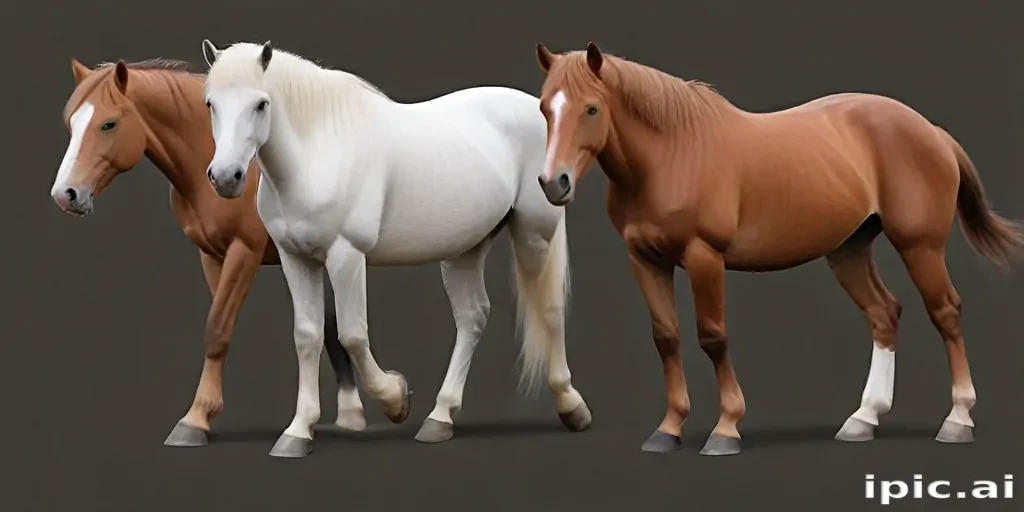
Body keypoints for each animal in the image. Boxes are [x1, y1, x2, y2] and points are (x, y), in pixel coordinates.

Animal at [50, 57, 367, 448]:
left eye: (109, 123)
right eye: (71, 123)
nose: (65, 194)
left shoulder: (244, 252)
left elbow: (217, 329)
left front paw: (195, 418)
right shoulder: (212, 255)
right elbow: (224, 326)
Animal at [199, 40, 592, 458]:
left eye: (261, 104)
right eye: (210, 103)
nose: (225, 177)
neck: (319, 153)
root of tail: (537, 110)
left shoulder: (346, 256)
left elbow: (353, 336)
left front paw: (395, 399)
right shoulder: (296, 259)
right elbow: (307, 336)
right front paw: (297, 432)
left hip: (535, 234)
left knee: (550, 311)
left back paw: (571, 406)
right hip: (466, 249)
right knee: (472, 317)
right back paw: (440, 418)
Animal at [533, 42, 1024, 455]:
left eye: (592, 108)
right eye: (544, 107)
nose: (554, 183)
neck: (672, 154)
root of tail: (931, 131)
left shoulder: (703, 257)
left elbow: (712, 336)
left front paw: (726, 429)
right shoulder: (645, 260)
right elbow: (666, 338)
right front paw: (667, 430)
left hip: (920, 246)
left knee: (946, 313)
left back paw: (957, 419)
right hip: (849, 250)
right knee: (884, 314)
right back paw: (864, 419)